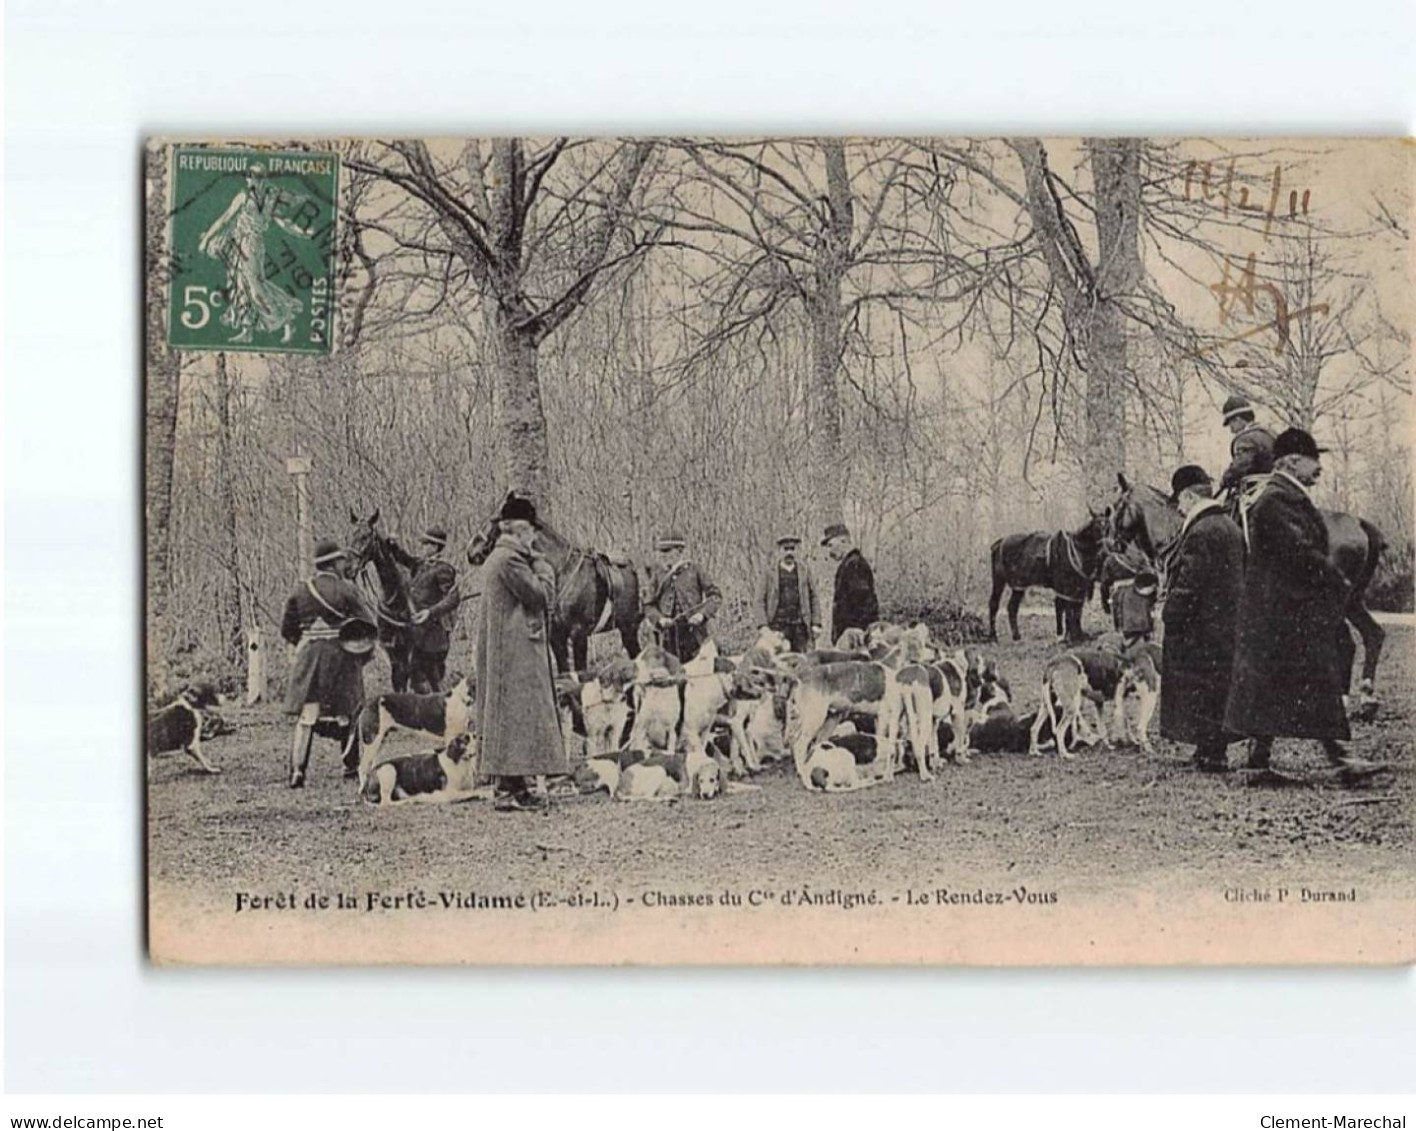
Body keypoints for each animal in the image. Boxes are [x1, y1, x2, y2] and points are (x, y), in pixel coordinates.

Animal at [346, 509, 416, 693]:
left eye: (365, 536)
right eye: (349, 535)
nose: (348, 568)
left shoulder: (408, 647)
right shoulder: (391, 649)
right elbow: (397, 680)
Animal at [464, 492, 642, 673]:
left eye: (493, 519)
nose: (470, 552)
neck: (562, 573)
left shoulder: (579, 635)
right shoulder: (556, 637)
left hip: (629, 628)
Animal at [991, 512, 1110, 645]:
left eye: (1108, 526)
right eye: (1096, 527)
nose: (1105, 547)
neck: (1075, 550)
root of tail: (1000, 542)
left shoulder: (1078, 589)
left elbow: (1076, 610)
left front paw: (1078, 635)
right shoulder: (1067, 588)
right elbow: (1069, 611)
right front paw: (1072, 637)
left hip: (1018, 586)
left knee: (1012, 607)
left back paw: (1016, 636)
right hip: (1000, 581)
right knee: (994, 604)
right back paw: (993, 636)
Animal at [1104, 472, 1382, 713]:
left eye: (1116, 505)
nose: (1108, 543)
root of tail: (1357, 523)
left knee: (1347, 643)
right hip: (1352, 602)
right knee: (1373, 635)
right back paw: (1365, 698)